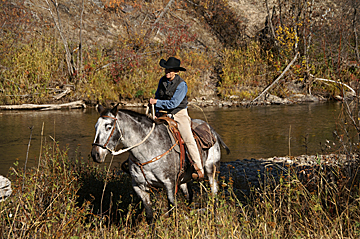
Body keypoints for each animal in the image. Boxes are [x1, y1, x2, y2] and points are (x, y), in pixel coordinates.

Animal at [91, 104, 229, 224]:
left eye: (108, 126)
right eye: (96, 127)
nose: (95, 154)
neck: (148, 151)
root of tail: (212, 130)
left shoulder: (170, 185)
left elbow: (172, 211)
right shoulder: (140, 187)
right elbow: (149, 216)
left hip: (211, 170)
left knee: (214, 194)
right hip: (184, 180)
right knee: (189, 195)